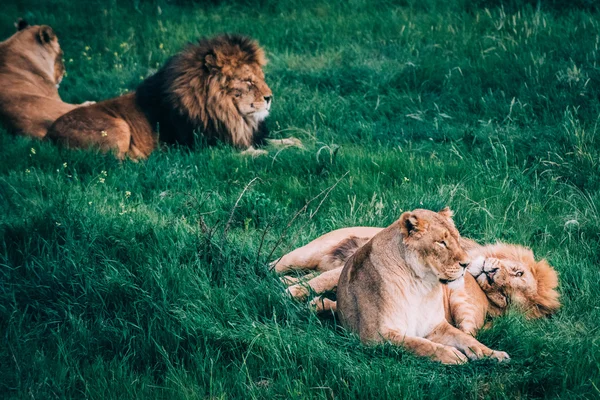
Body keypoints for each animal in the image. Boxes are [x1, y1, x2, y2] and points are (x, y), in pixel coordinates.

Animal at [47, 34, 300, 159]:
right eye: (248, 81)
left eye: (261, 77)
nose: (269, 97)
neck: (230, 115)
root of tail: (49, 134)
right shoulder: (203, 148)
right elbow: (248, 153)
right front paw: (266, 155)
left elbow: (281, 142)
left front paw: (298, 144)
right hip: (120, 127)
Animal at [332, 208, 506, 364]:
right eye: (441, 242)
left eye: (458, 239)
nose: (466, 263)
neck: (420, 285)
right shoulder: (374, 336)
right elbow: (417, 343)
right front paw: (452, 354)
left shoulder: (436, 326)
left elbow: (466, 339)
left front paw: (493, 354)